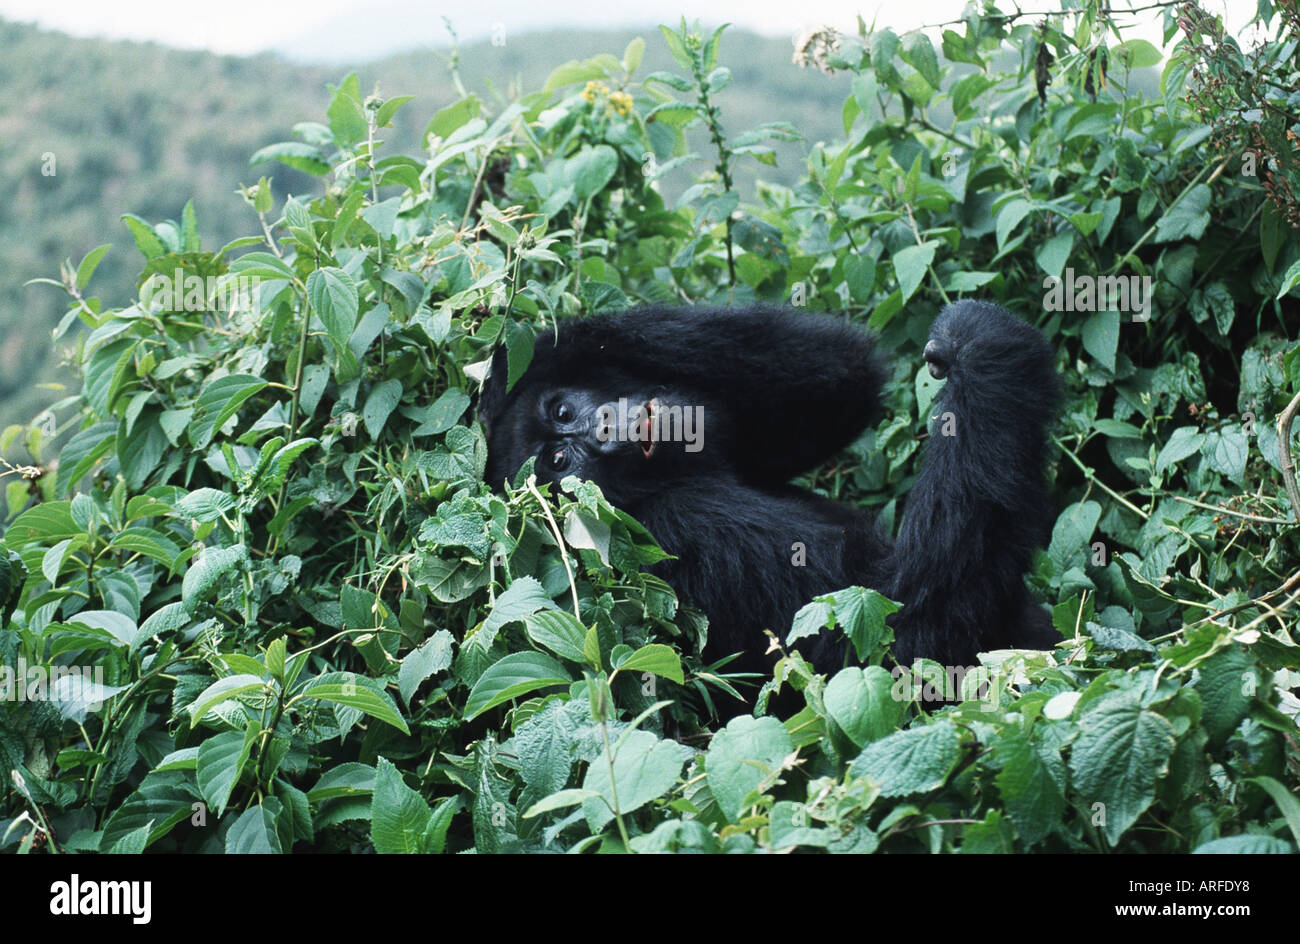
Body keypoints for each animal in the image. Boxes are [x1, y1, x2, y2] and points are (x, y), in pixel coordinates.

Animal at [483, 306, 1060, 686]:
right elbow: (895, 634)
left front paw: (545, 344)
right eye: (560, 464)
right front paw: (979, 343)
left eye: (562, 411)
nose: (604, 430)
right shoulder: (683, 531)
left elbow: (839, 380)